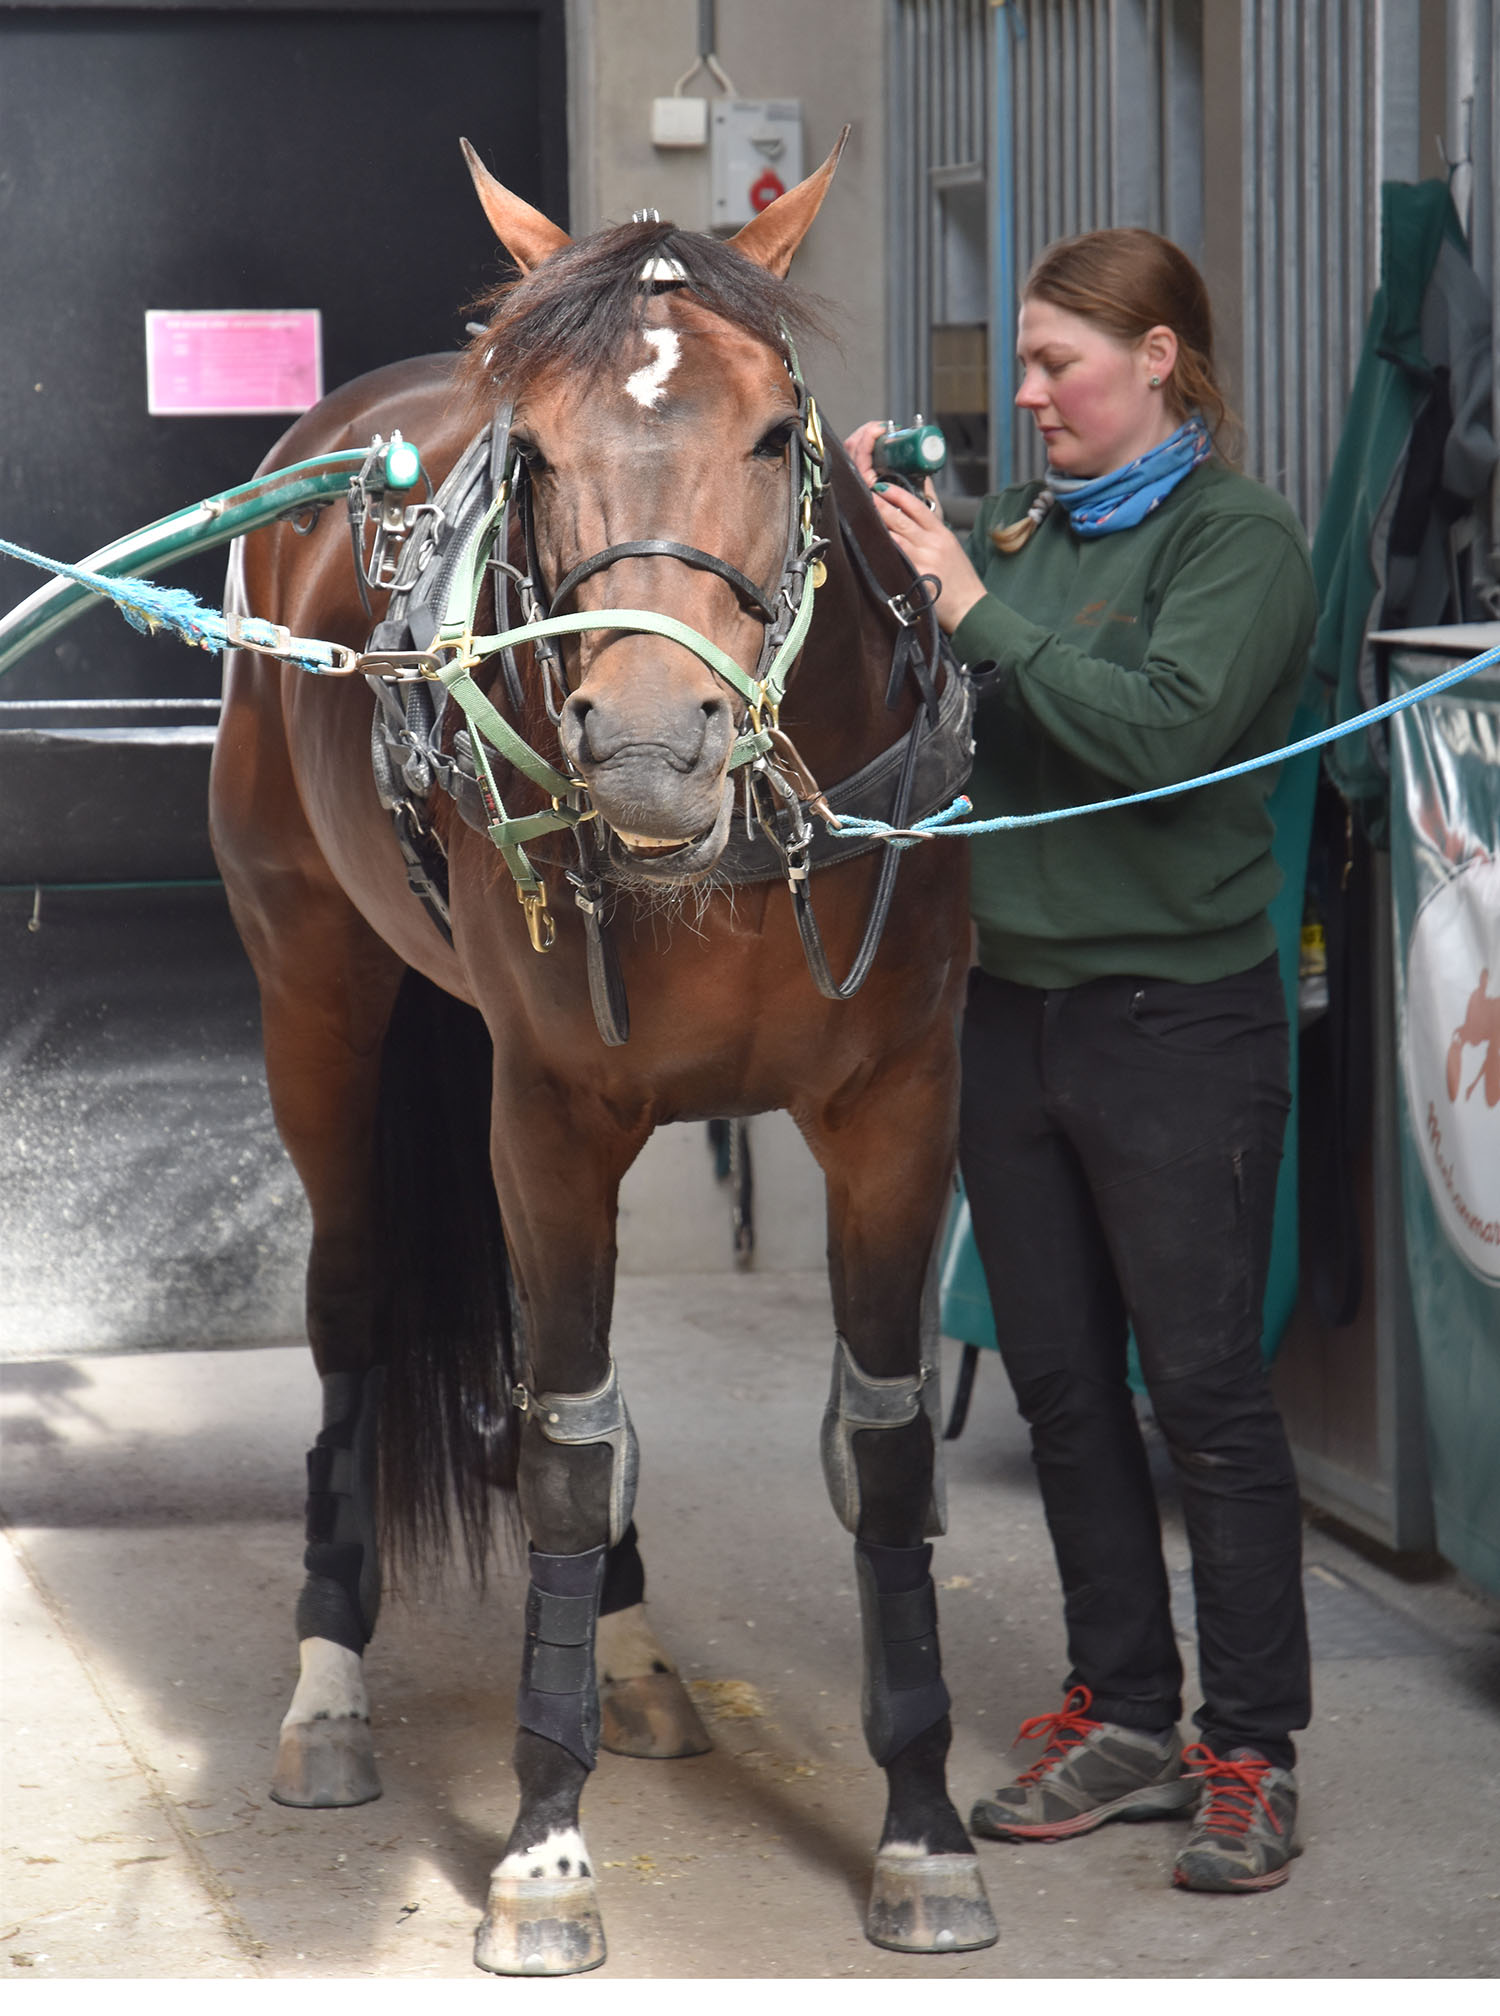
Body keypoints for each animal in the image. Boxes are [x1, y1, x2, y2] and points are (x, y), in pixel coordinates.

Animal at [204, 134, 991, 1975]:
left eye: (776, 433)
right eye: (540, 450)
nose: (643, 745)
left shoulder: (898, 1108)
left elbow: (884, 1450)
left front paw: (923, 1829)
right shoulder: (553, 1113)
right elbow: (565, 1455)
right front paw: (546, 1850)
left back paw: (628, 1656)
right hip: (314, 997)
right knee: (355, 1315)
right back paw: (329, 1690)